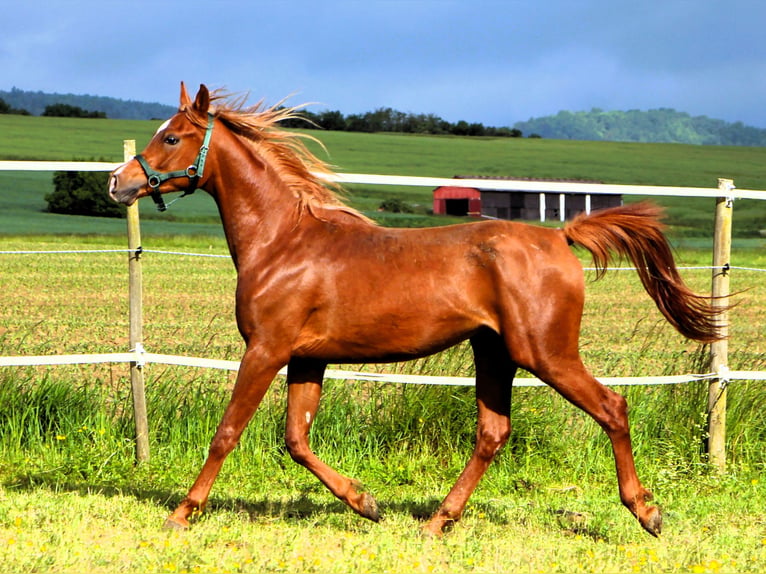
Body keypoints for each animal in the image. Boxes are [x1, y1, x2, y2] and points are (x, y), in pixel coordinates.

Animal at [109, 83, 722, 537]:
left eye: (172, 136)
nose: (118, 183)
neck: (283, 243)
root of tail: (559, 236)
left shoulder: (266, 349)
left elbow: (228, 432)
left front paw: (180, 514)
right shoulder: (307, 359)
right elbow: (296, 440)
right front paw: (366, 502)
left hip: (544, 352)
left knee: (612, 407)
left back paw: (647, 511)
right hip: (494, 352)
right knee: (493, 433)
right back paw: (436, 522)